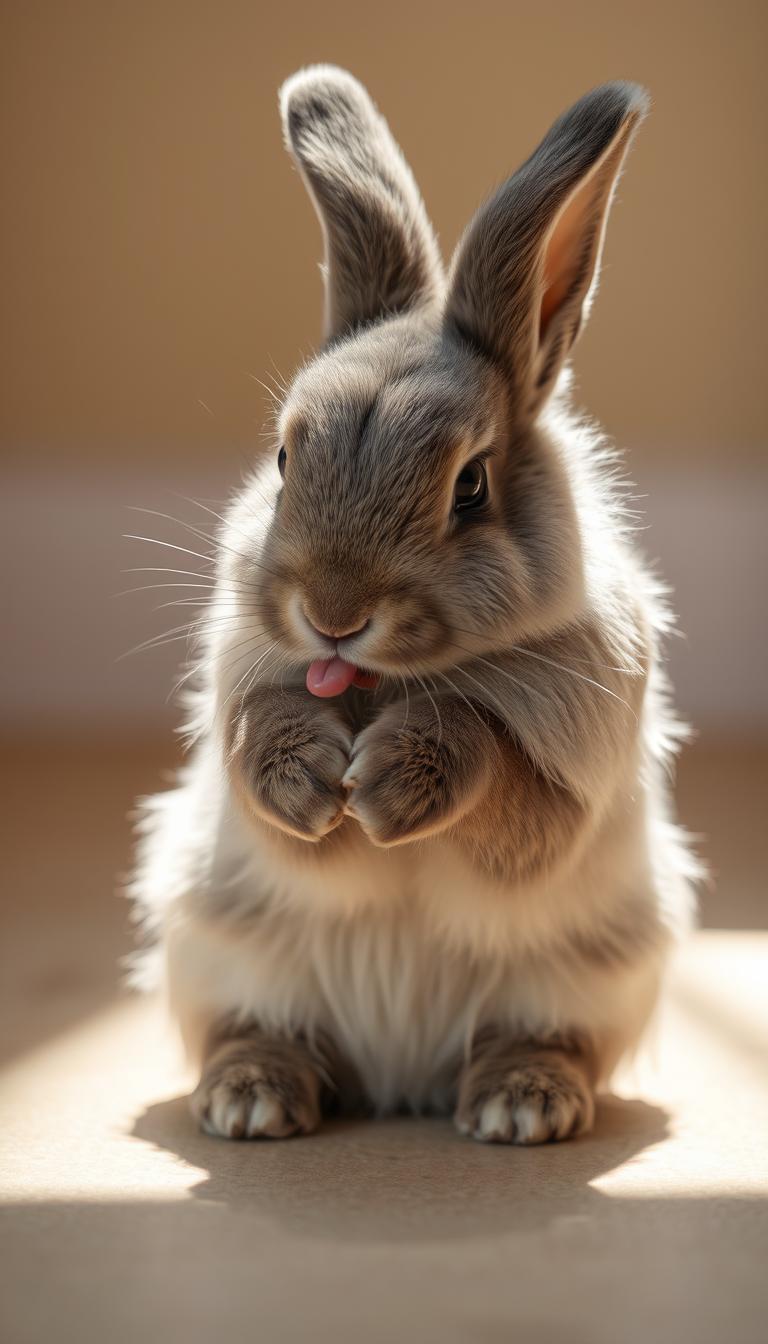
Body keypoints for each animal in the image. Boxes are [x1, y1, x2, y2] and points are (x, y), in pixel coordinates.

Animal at [130, 66, 698, 1145]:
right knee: (254, 1028)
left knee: (546, 1039)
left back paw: (521, 1105)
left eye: (470, 487)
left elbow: (510, 785)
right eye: (283, 458)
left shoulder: (573, 762)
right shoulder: (244, 703)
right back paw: (251, 1099)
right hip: (219, 944)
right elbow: (264, 766)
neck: (376, 679)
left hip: (593, 975)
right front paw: (314, 779)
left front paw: (390, 780)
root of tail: (399, 1083)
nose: (332, 611)